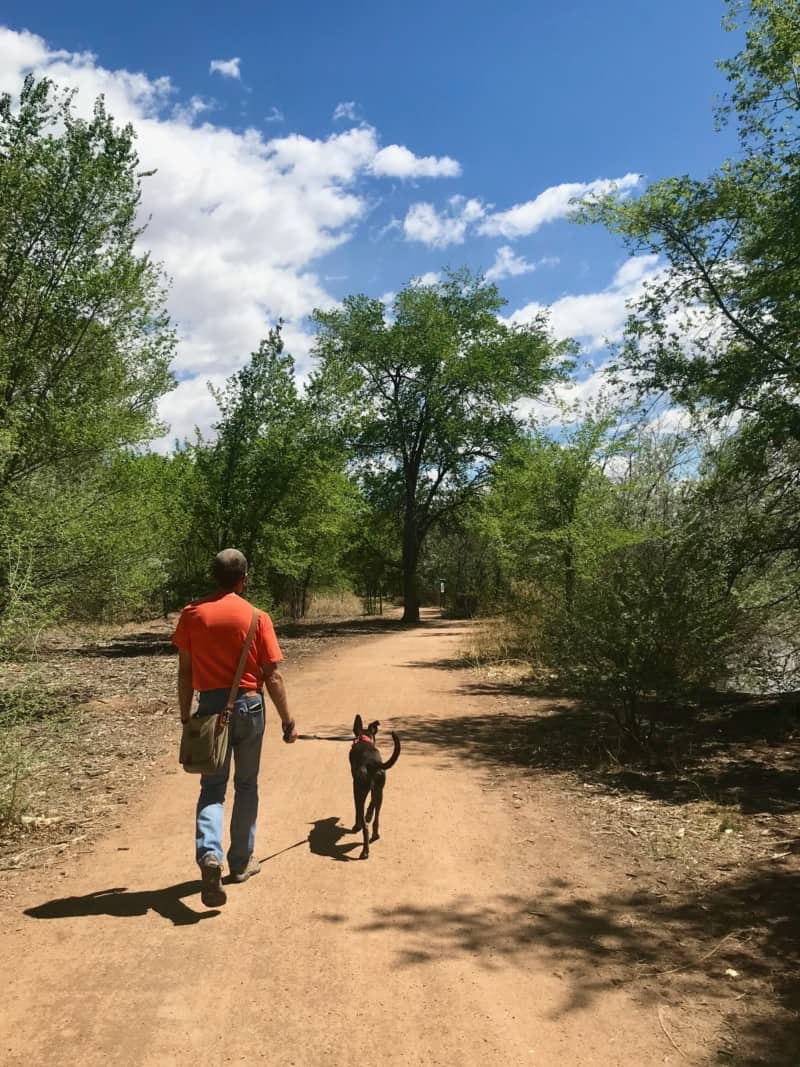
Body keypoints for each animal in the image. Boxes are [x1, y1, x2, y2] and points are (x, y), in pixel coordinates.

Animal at [349, 717, 401, 857]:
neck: (364, 738)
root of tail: (372, 763)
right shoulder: (376, 790)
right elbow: (371, 804)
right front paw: (368, 814)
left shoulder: (356, 788)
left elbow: (357, 811)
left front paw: (357, 825)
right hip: (380, 792)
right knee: (376, 818)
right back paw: (375, 834)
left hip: (360, 790)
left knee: (365, 826)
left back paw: (365, 851)